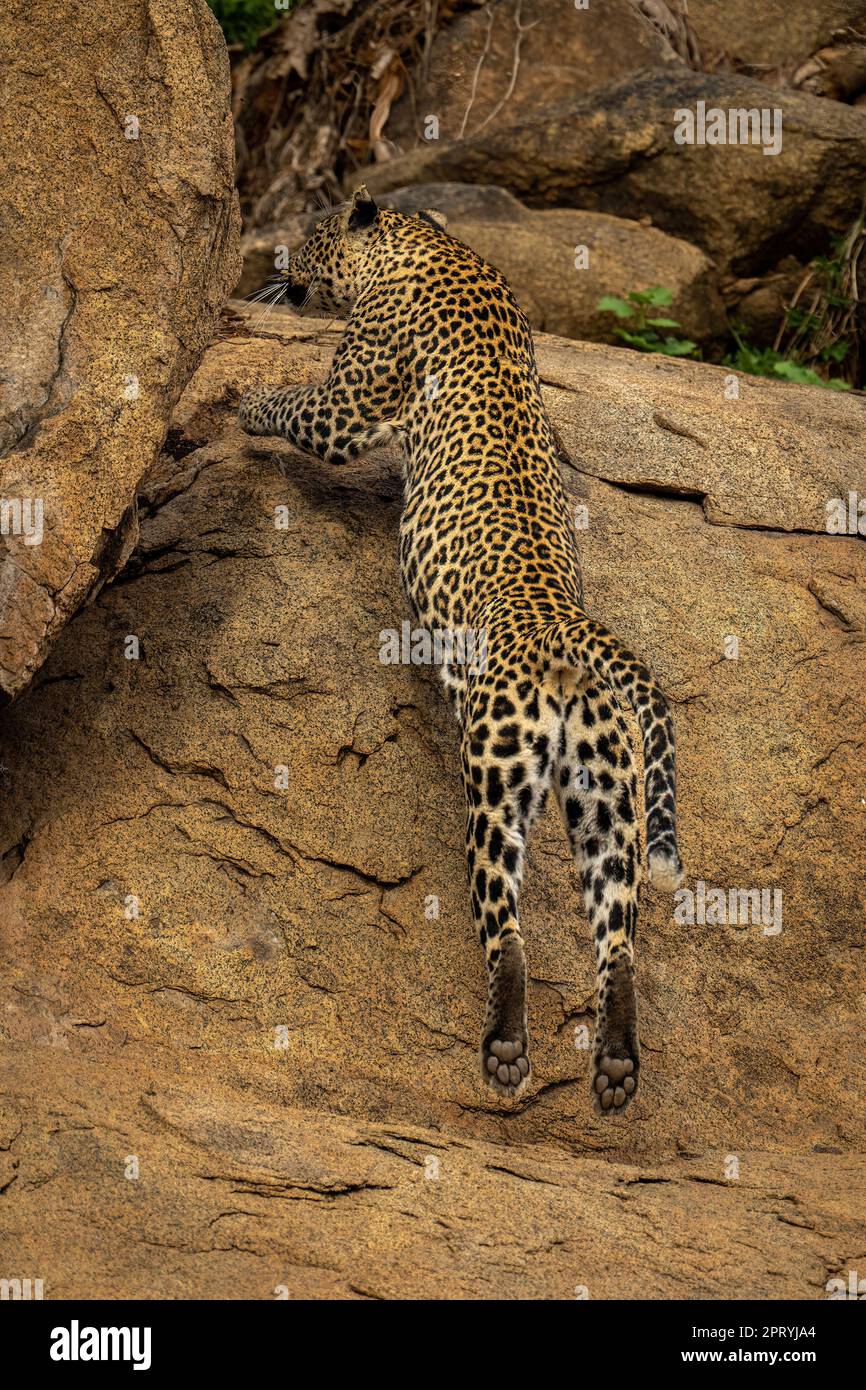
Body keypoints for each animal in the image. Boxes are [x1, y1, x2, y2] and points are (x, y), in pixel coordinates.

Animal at [239, 185, 684, 1113]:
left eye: (311, 233)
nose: (279, 267)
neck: (434, 247)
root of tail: (559, 623)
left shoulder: (350, 401)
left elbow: (296, 407)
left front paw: (245, 404)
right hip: (608, 796)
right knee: (618, 936)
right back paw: (616, 1065)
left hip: (496, 772)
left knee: (506, 922)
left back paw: (507, 1047)